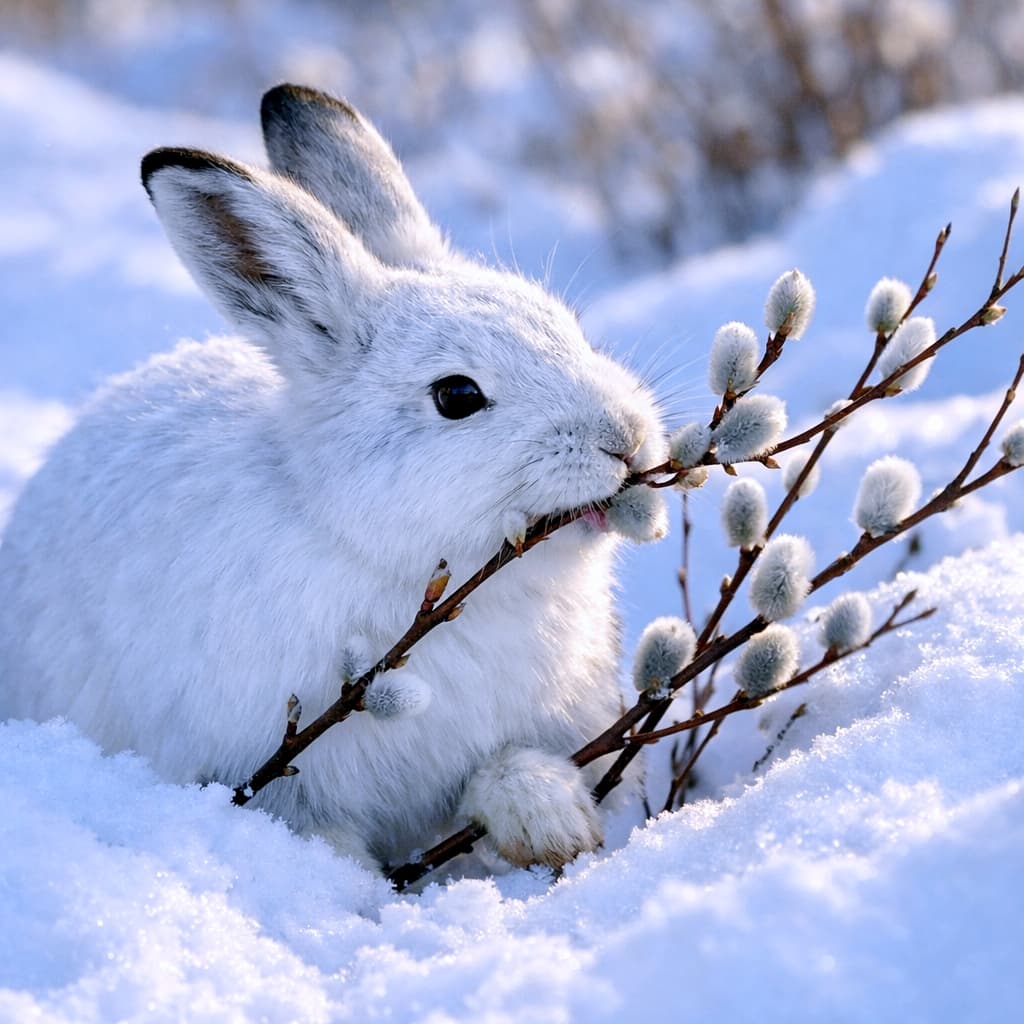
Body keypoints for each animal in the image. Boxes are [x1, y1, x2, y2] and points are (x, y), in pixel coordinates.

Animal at [0, 84, 667, 873]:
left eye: (568, 327)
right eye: (457, 396)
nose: (625, 439)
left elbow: (506, 767)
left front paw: (551, 824)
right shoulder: (273, 775)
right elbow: (324, 839)